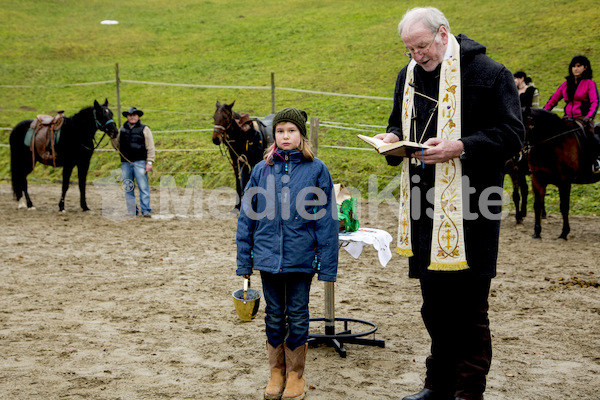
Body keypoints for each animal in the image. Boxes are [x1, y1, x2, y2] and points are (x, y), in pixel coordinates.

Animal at [520, 106, 600, 238]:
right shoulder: (537, 180)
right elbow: (537, 205)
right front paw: (537, 231)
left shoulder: (564, 182)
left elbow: (564, 207)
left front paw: (564, 232)